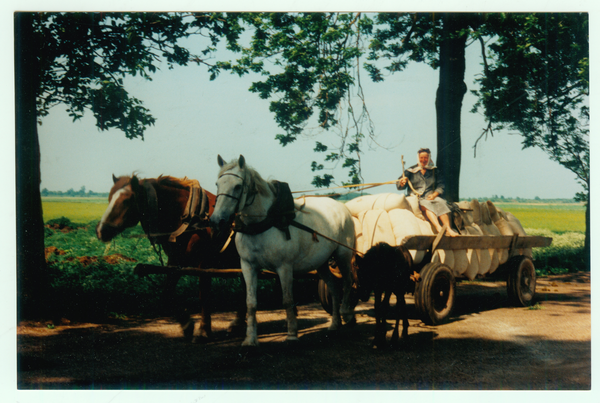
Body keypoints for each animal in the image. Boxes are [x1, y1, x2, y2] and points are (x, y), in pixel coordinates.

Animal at [96, 175, 244, 342]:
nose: (100, 231)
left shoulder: (204, 264)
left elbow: (204, 295)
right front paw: (186, 324)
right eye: (109, 198)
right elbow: (167, 294)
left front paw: (203, 331)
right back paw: (237, 325)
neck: (190, 218)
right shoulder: (175, 262)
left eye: (127, 200)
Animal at [210, 155, 356, 348]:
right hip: (321, 263)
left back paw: (347, 313)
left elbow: (287, 300)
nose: (216, 220)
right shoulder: (248, 266)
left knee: (347, 282)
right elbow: (251, 302)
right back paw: (334, 324)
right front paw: (250, 339)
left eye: (238, 186)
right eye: (217, 184)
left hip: (343, 255)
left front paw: (292, 334)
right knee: (333, 287)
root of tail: (343, 207)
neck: (264, 223)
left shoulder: (284, 267)